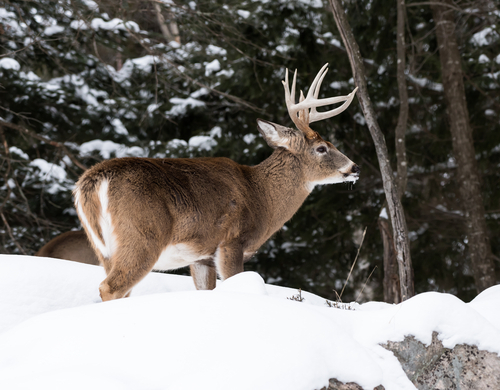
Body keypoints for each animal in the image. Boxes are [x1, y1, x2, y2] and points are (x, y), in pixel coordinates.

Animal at [73, 64, 360, 302]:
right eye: (322, 148)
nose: (355, 168)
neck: (261, 197)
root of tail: (92, 180)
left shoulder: (202, 256)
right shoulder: (232, 241)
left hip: (104, 249)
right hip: (142, 236)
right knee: (110, 287)